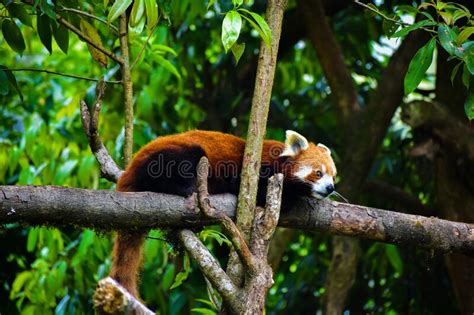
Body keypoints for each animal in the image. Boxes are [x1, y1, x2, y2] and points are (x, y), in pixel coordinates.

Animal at [110, 130, 336, 298]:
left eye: (333, 175)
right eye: (318, 173)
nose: (330, 188)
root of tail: (129, 171)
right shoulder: (255, 171)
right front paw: (292, 199)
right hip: (171, 155)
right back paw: (188, 188)